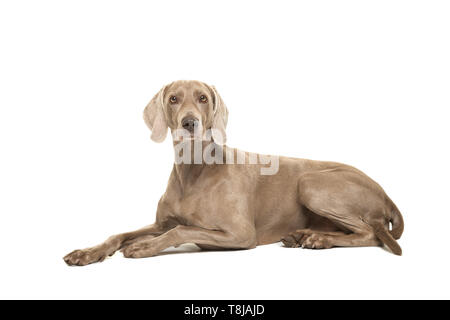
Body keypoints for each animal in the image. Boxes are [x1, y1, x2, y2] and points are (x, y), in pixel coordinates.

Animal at [64, 81, 404, 266]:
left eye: (202, 97)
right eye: (173, 98)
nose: (189, 122)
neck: (193, 171)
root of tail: (387, 195)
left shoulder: (241, 234)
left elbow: (181, 230)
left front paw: (144, 247)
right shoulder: (161, 222)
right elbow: (119, 234)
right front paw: (87, 252)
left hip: (311, 182)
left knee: (370, 233)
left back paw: (318, 239)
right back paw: (304, 235)